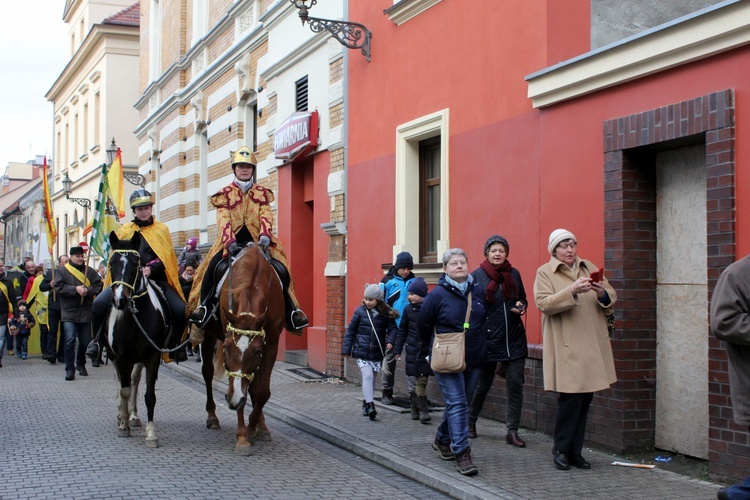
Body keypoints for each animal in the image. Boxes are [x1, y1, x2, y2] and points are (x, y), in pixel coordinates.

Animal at [197, 244, 284, 456]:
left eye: (257, 351)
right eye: (228, 347)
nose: (233, 399)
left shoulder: (271, 344)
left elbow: (261, 391)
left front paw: (254, 428)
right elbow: (241, 387)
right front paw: (243, 436)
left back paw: (262, 425)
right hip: (208, 333)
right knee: (207, 372)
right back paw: (212, 417)